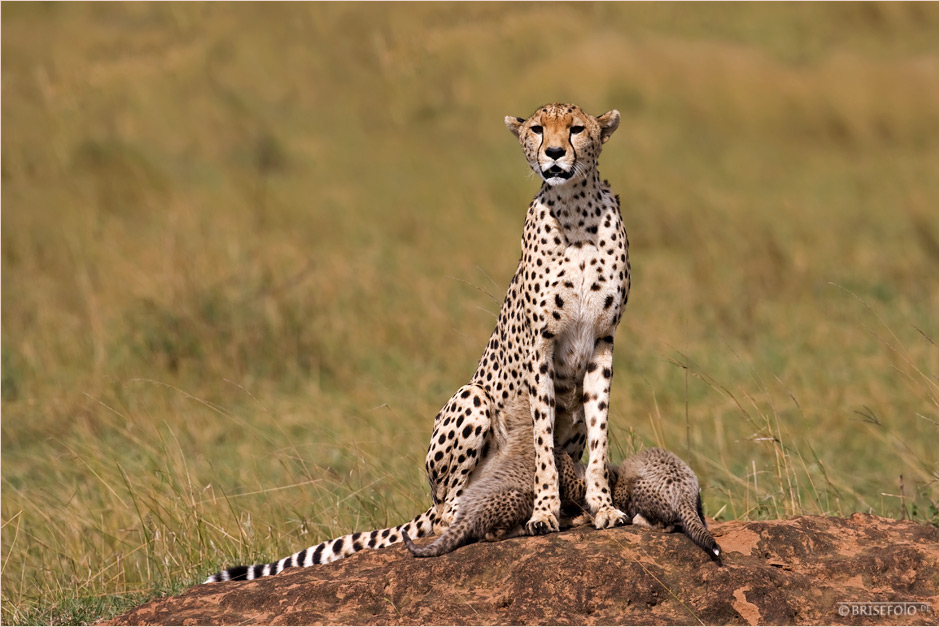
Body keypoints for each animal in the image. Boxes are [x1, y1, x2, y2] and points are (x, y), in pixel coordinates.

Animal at [207, 104, 632, 584]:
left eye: (576, 129)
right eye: (538, 129)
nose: (555, 154)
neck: (575, 209)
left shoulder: (602, 342)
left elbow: (598, 434)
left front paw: (602, 507)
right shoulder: (539, 347)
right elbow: (541, 443)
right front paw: (543, 512)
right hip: (473, 398)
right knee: (447, 510)